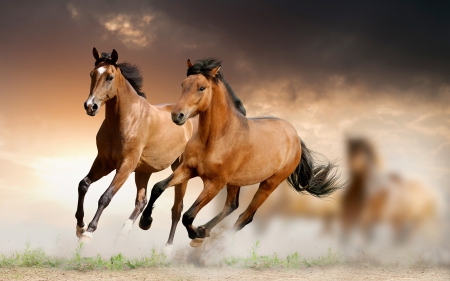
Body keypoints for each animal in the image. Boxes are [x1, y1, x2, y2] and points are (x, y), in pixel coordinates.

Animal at [75, 48, 193, 249]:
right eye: (92, 74)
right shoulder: (104, 162)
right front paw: (80, 226)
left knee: (177, 209)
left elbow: (105, 197)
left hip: (179, 170)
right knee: (141, 201)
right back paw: (125, 233)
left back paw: (167, 248)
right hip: (143, 171)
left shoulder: (126, 165)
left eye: (110, 77)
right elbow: (83, 184)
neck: (127, 119)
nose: (90, 106)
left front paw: (88, 233)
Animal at [138, 58, 342, 246]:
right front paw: (145, 222)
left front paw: (195, 233)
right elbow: (158, 187)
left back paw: (211, 243)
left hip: (269, 184)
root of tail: (295, 136)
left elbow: (188, 215)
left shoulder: (215, 183)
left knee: (245, 216)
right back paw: (205, 231)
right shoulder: (188, 169)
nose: (177, 115)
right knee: (232, 205)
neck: (215, 138)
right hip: (235, 181)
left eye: (202, 87)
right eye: (183, 84)